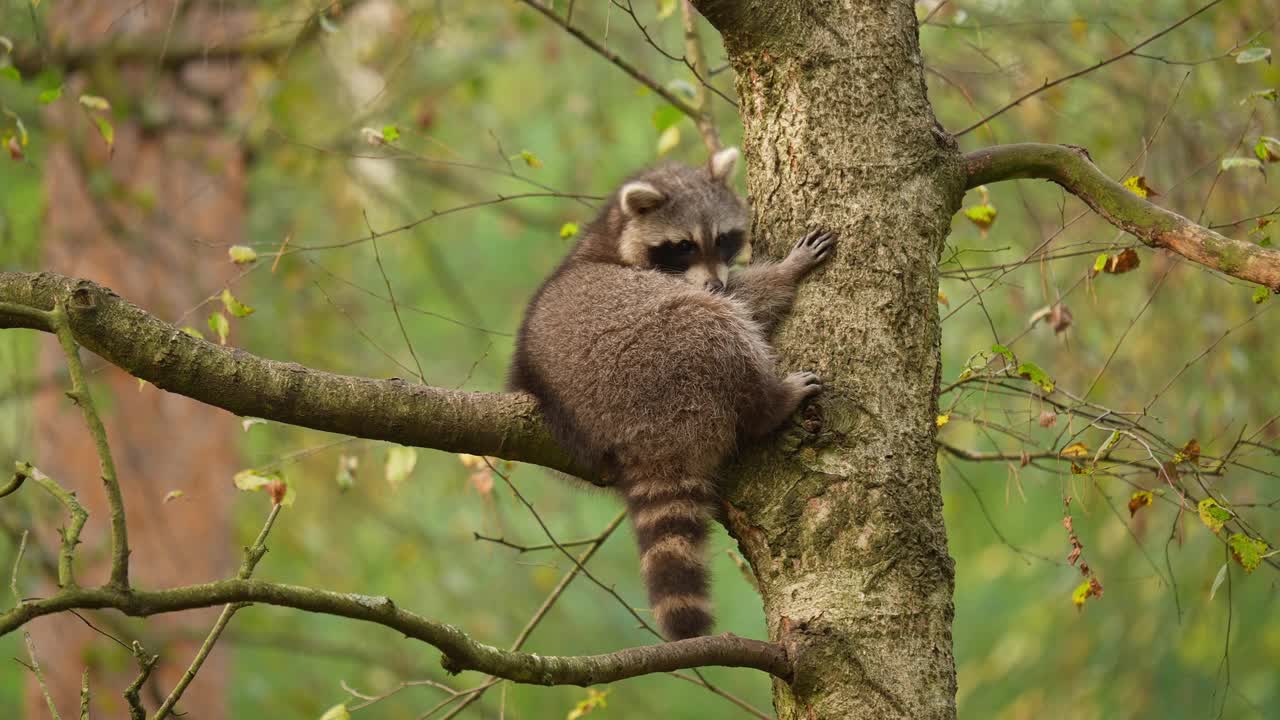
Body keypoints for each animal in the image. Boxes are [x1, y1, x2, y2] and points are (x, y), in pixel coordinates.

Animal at [514, 147, 834, 638]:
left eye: (724, 238)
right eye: (683, 246)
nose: (717, 282)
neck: (613, 231)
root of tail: (644, 438)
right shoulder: (656, 280)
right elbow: (744, 300)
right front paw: (785, 270)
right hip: (655, 355)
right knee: (713, 321)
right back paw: (769, 403)